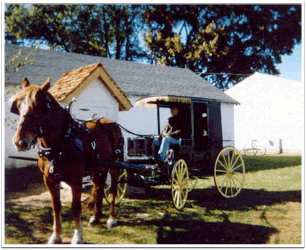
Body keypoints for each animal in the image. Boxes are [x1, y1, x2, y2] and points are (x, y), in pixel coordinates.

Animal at [10, 77, 123, 243]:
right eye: (18, 106)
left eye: (38, 106)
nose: (20, 142)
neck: (61, 141)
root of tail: (111, 122)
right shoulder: (49, 179)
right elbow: (56, 206)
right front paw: (56, 236)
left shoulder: (76, 179)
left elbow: (76, 206)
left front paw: (78, 237)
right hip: (98, 169)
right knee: (99, 187)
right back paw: (96, 217)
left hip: (115, 167)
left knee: (113, 190)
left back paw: (111, 219)